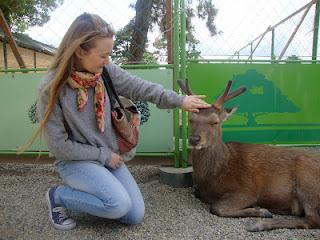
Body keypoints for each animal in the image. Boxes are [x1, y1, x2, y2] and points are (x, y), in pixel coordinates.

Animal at [178, 79, 320, 232]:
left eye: (215, 122)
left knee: (313, 220)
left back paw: (260, 224)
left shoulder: (247, 190)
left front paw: (261, 211)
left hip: (307, 178)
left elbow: (216, 208)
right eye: (191, 119)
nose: (194, 139)